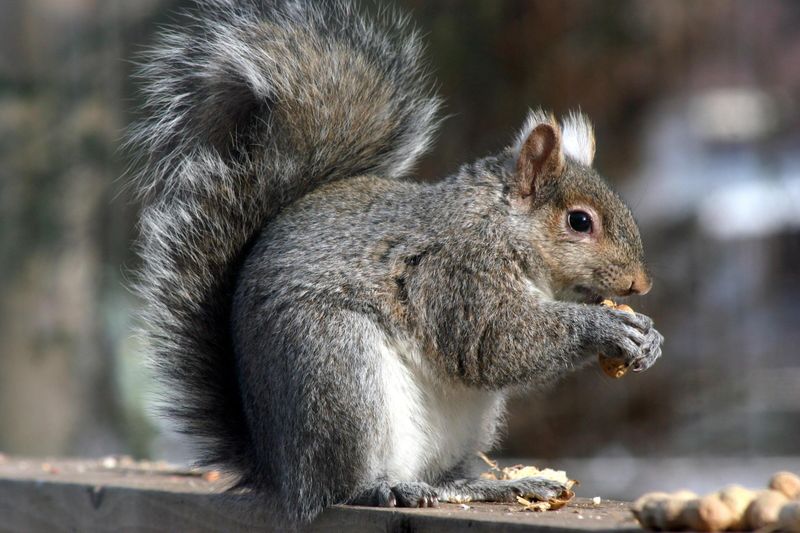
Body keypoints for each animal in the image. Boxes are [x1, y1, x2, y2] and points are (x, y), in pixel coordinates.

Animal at [130, 0, 664, 524]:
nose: (640, 285)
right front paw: (605, 327)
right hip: (335, 369)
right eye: (579, 221)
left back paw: (503, 485)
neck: (498, 223)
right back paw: (382, 487)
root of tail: (277, 468)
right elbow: (495, 343)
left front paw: (650, 338)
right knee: (338, 486)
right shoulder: (456, 274)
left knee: (445, 482)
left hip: (459, 424)